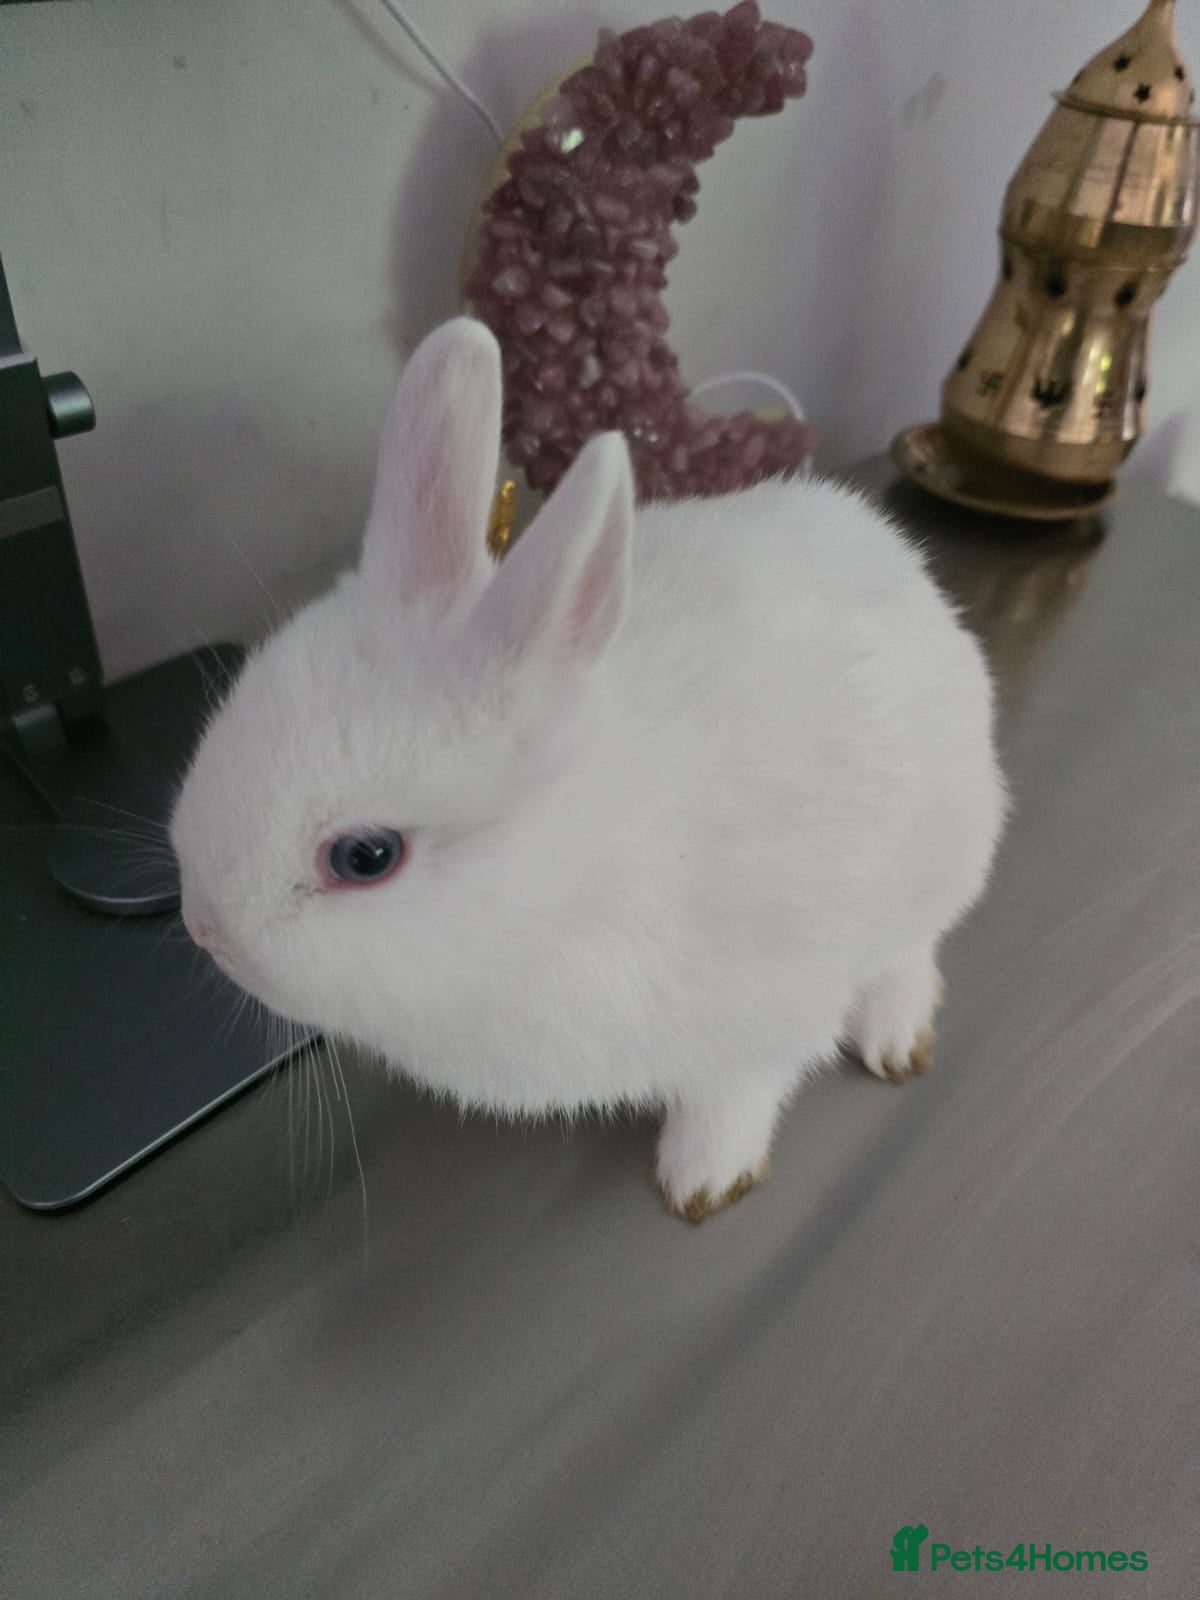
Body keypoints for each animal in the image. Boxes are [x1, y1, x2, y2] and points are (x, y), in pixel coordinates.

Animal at [171, 317, 1006, 1221]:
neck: (572, 886)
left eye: (365, 857)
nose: (202, 927)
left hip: (940, 862)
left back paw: (894, 1040)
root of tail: (912, 576)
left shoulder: (766, 1016)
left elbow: (737, 1096)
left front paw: (700, 1182)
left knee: (911, 954)